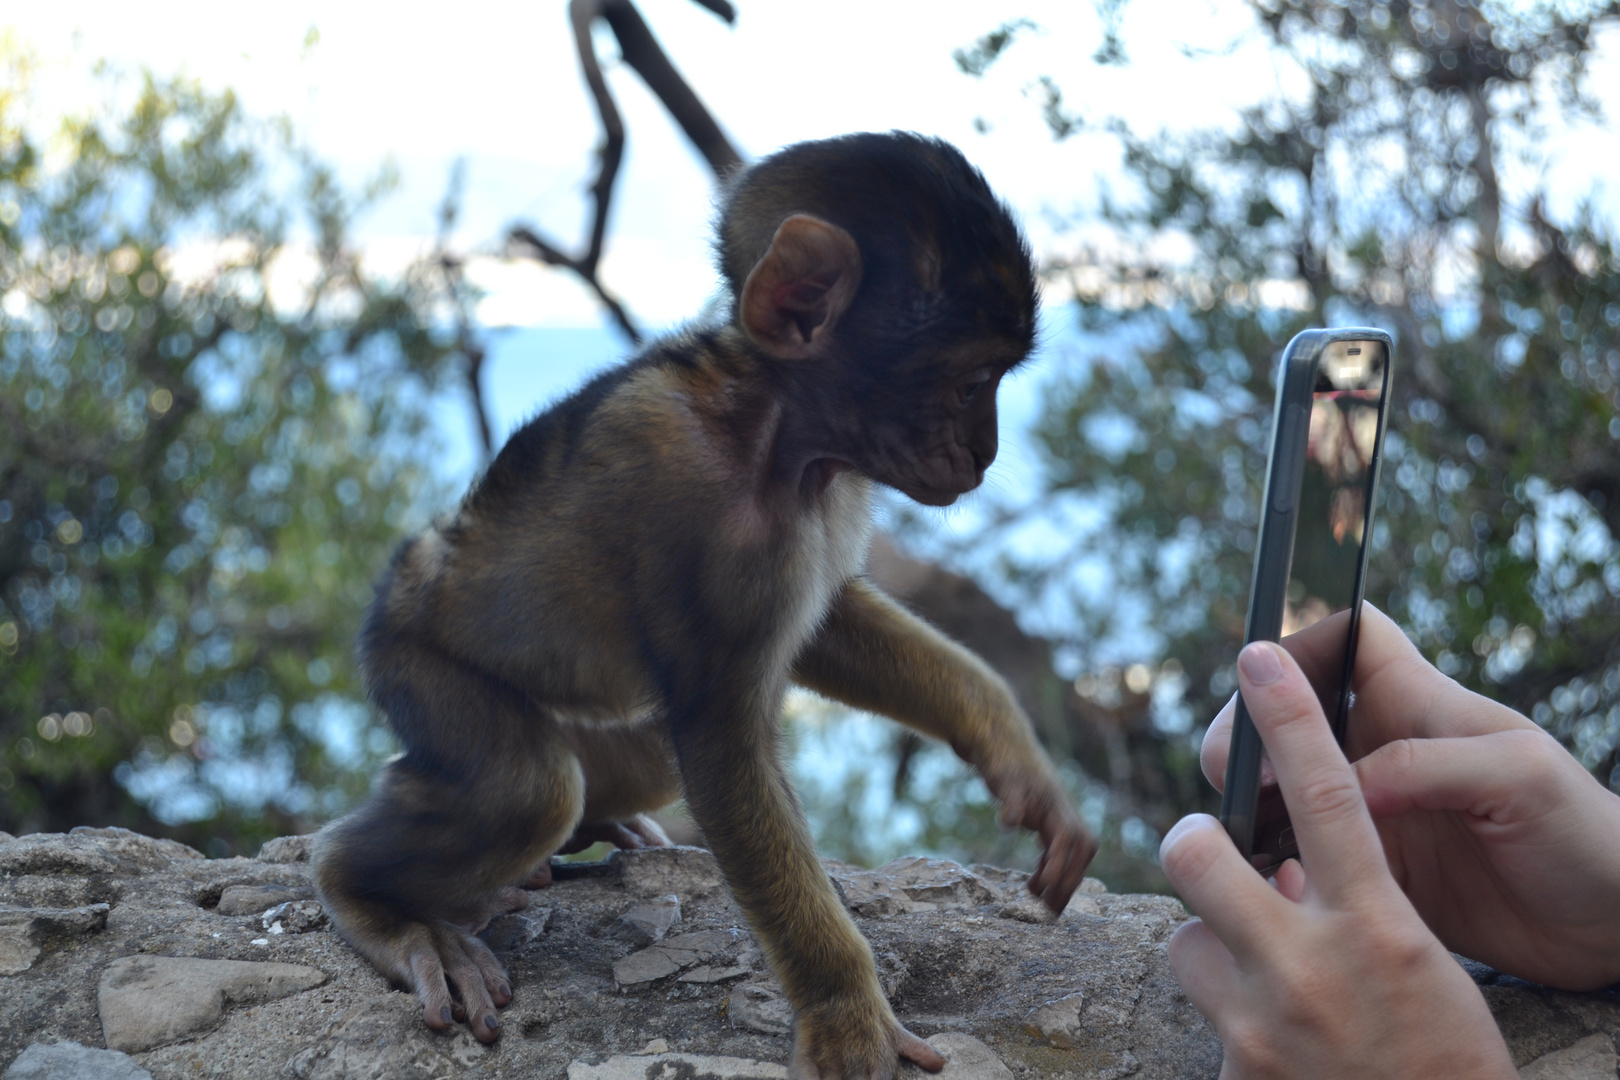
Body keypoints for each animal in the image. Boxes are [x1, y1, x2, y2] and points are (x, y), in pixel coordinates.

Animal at [312, 132, 1101, 1080]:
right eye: (972, 379)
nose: (984, 450)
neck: (776, 426)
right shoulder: (699, 509)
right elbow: (724, 745)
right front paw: (845, 1014)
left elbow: (828, 628)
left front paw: (1011, 749)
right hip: (413, 664)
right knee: (526, 788)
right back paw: (376, 901)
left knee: (621, 764)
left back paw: (589, 833)